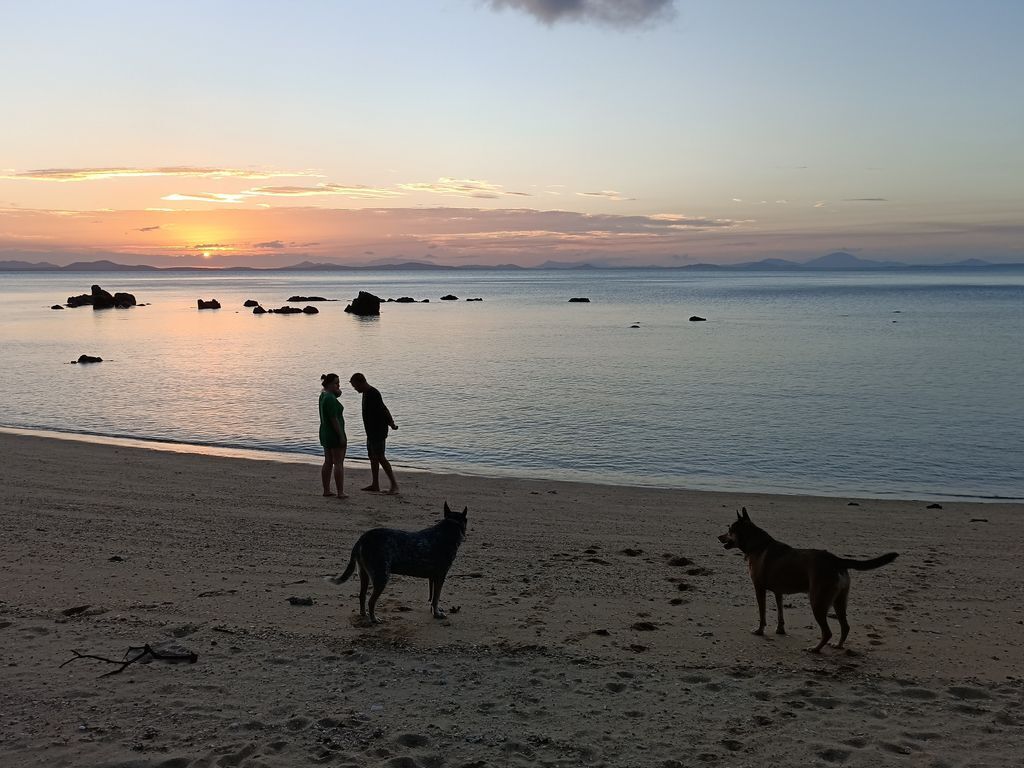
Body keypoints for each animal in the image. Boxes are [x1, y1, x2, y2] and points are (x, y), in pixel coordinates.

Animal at [329, 501, 468, 622]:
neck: (449, 528)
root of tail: (361, 539)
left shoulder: (433, 578)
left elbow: (433, 598)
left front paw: (435, 610)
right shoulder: (440, 576)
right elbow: (436, 598)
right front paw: (437, 613)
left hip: (364, 574)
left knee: (362, 596)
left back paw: (364, 614)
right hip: (381, 576)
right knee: (371, 601)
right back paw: (374, 619)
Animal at [720, 507, 897, 651]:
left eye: (730, 529)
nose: (718, 537)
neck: (757, 544)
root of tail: (836, 560)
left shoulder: (759, 588)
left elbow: (762, 613)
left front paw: (759, 630)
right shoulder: (778, 591)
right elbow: (780, 611)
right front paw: (780, 629)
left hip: (818, 600)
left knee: (827, 632)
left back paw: (815, 648)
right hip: (839, 599)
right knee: (845, 626)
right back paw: (838, 645)